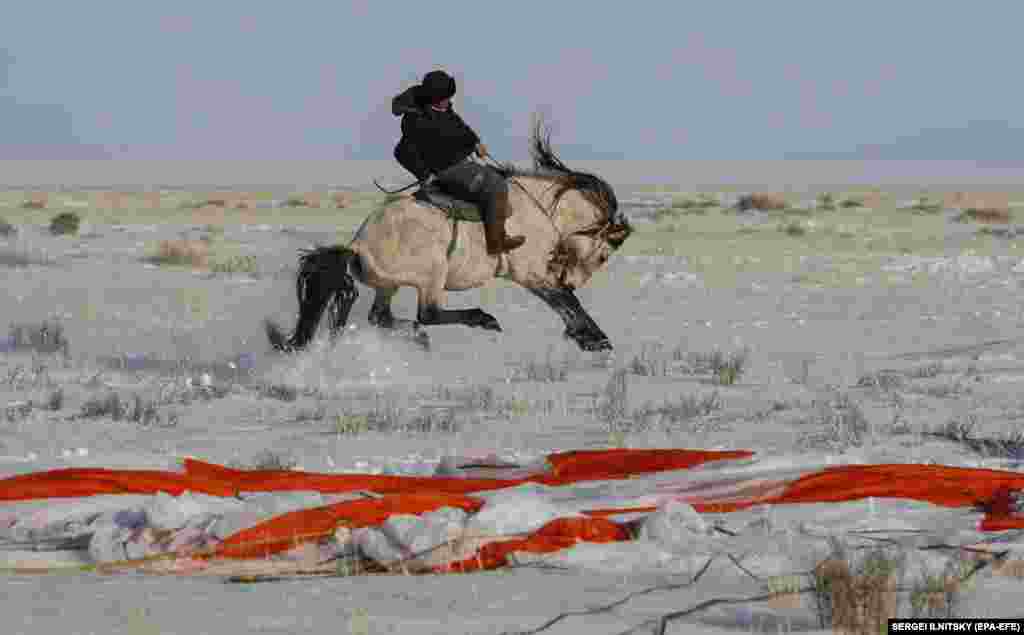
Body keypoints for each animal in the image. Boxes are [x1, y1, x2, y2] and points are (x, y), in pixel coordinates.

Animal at [264, 117, 630, 354]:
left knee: (381, 317)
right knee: (427, 314)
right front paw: (595, 339)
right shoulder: (532, 273)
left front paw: (586, 337)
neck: (535, 207)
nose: (573, 279)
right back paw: (482, 320)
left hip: (389, 284)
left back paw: (418, 339)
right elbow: (567, 302)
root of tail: (357, 245)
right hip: (432, 274)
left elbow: (564, 303)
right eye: (603, 256)